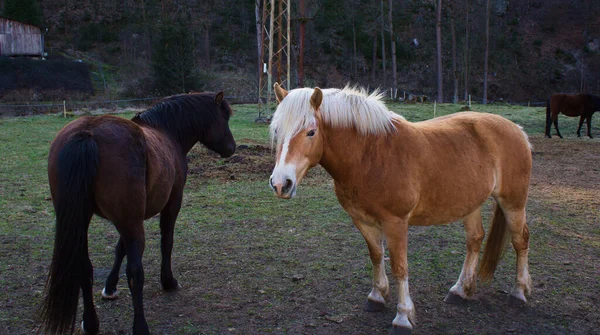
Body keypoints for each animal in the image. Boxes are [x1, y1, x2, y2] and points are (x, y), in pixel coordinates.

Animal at [39, 92, 237, 335]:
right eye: (224, 118)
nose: (231, 148)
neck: (167, 132)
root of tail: (87, 133)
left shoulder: (128, 218)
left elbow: (119, 248)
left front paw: (110, 287)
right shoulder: (169, 204)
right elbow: (166, 242)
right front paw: (168, 281)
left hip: (85, 219)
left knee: (84, 267)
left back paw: (91, 322)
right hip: (129, 221)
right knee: (135, 272)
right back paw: (140, 326)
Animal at [270, 84, 532, 335]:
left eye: (311, 132)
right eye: (276, 131)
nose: (281, 184)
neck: (370, 157)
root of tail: (517, 129)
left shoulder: (395, 222)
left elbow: (399, 266)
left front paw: (403, 317)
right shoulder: (362, 221)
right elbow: (376, 256)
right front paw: (377, 296)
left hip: (513, 203)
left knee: (520, 241)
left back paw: (519, 292)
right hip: (470, 204)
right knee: (475, 239)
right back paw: (460, 290)